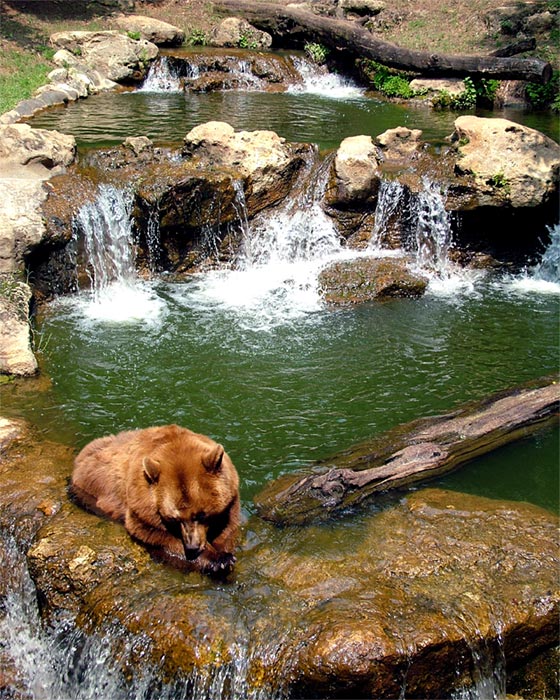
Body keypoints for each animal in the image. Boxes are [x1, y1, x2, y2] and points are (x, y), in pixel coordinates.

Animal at [70, 424, 240, 576]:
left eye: (201, 514)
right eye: (174, 518)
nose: (192, 547)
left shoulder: (230, 500)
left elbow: (227, 528)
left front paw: (222, 551)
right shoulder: (141, 504)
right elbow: (157, 534)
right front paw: (219, 560)